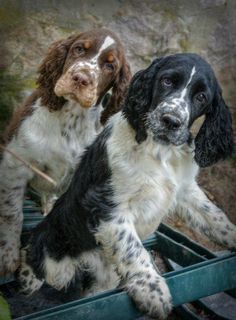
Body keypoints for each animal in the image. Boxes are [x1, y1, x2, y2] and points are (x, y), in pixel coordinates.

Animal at [0, 28, 131, 276]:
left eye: (110, 65)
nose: (81, 79)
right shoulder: (16, 164)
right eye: (79, 48)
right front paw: (8, 256)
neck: (71, 119)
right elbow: (12, 213)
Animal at [19, 53, 235, 318]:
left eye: (201, 97)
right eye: (167, 81)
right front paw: (153, 290)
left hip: (102, 282)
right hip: (50, 248)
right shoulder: (107, 204)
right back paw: (27, 277)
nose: (171, 121)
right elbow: (133, 248)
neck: (159, 150)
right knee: (33, 260)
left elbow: (215, 218)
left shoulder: (185, 191)